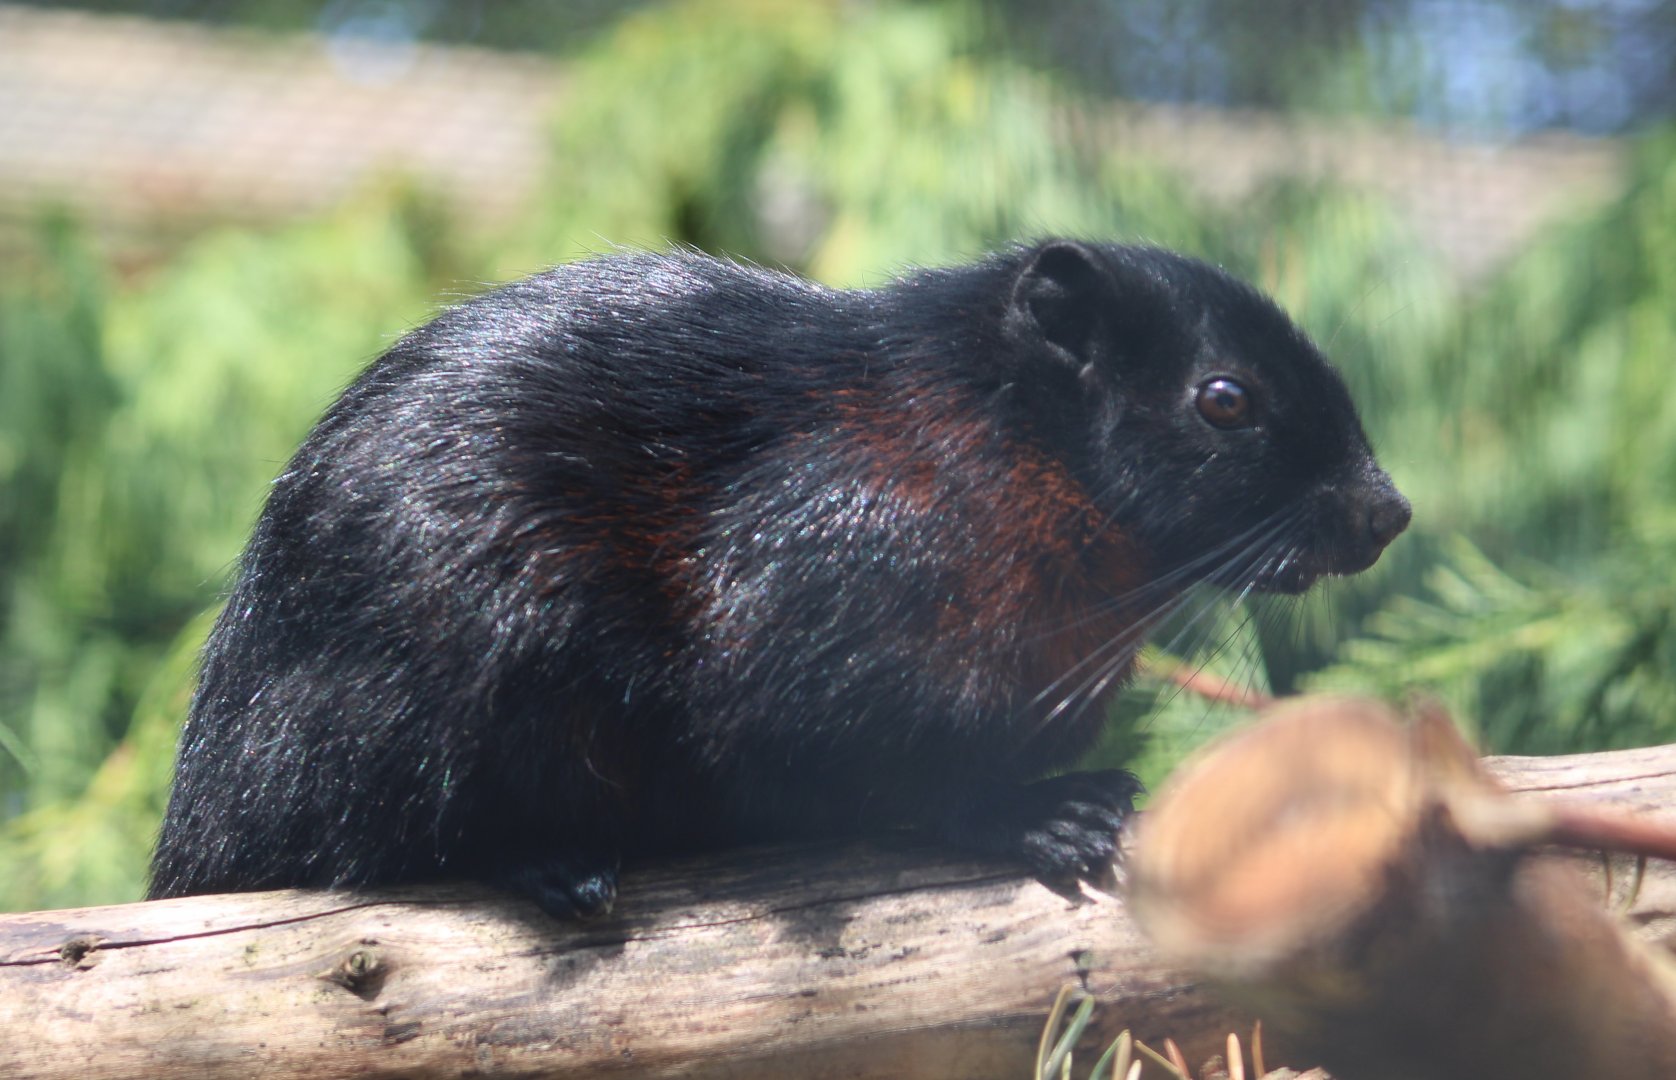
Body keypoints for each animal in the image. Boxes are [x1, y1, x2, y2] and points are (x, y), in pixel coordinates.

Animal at [148, 240, 1410, 917]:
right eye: (1224, 400)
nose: (1385, 509)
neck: (1001, 447)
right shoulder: (827, 597)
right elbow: (861, 769)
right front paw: (1038, 812)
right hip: (444, 674)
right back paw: (551, 861)